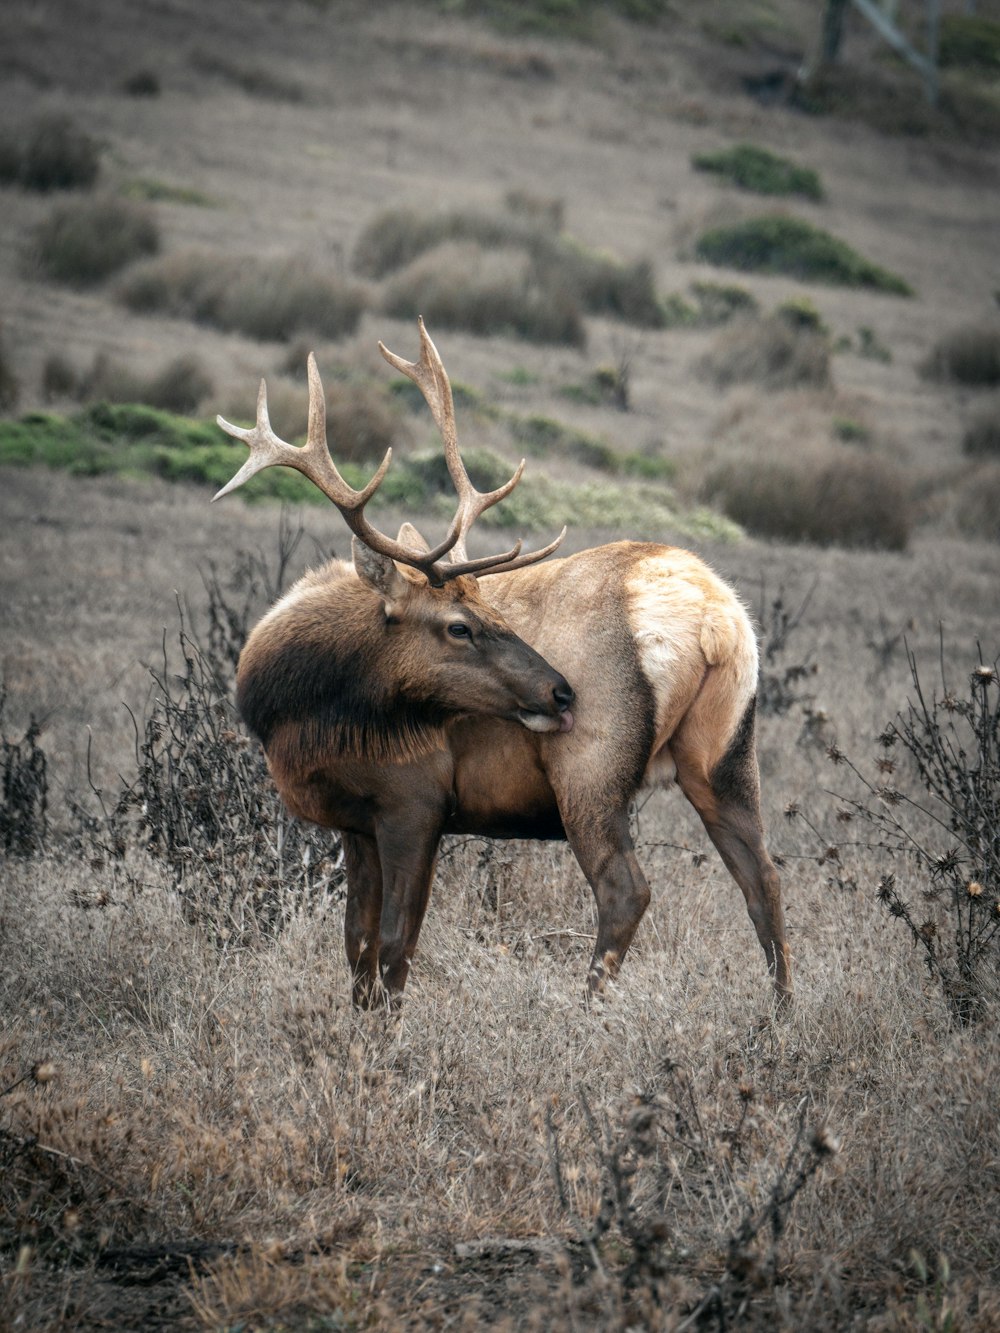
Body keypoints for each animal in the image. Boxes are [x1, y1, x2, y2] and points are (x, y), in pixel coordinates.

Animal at [216, 319, 794, 1007]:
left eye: (484, 611)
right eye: (461, 624)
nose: (559, 693)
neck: (293, 713)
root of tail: (715, 620)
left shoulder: (415, 800)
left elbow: (393, 946)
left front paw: (386, 1036)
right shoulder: (355, 823)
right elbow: (355, 948)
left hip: (590, 769)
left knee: (625, 890)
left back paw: (587, 1015)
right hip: (725, 755)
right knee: (764, 879)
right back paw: (782, 1017)